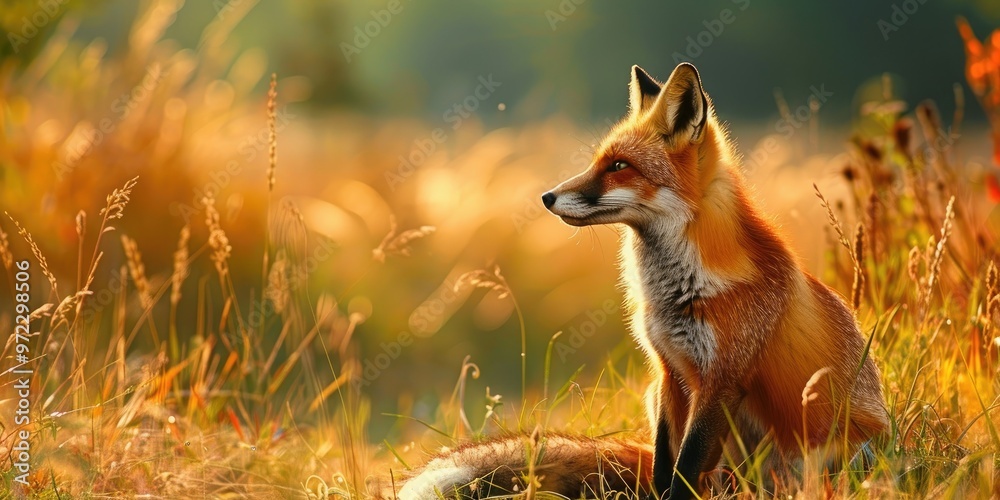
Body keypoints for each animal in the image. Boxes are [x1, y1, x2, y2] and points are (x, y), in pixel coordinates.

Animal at [373, 63, 888, 499]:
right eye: (599, 162)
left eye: (619, 166)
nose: (546, 196)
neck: (677, 290)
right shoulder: (668, 372)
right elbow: (664, 466)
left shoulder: (719, 381)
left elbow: (684, 470)